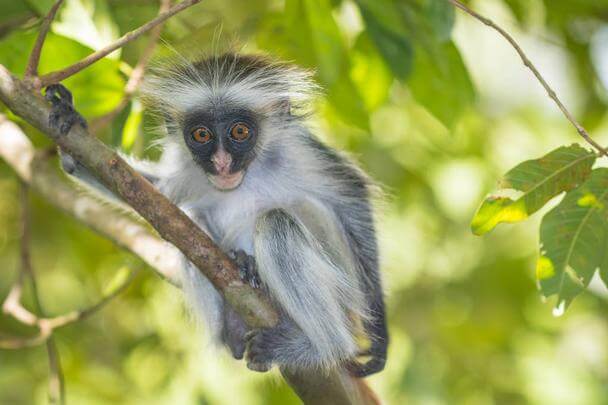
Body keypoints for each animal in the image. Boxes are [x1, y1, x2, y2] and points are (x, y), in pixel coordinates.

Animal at [48, 52, 390, 376]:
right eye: (201, 135)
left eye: (239, 131)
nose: (222, 162)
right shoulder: (186, 167)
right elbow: (151, 192)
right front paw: (71, 133)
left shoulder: (300, 150)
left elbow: (351, 193)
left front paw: (379, 338)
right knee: (190, 216)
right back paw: (234, 315)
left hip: (345, 290)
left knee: (277, 222)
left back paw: (325, 347)